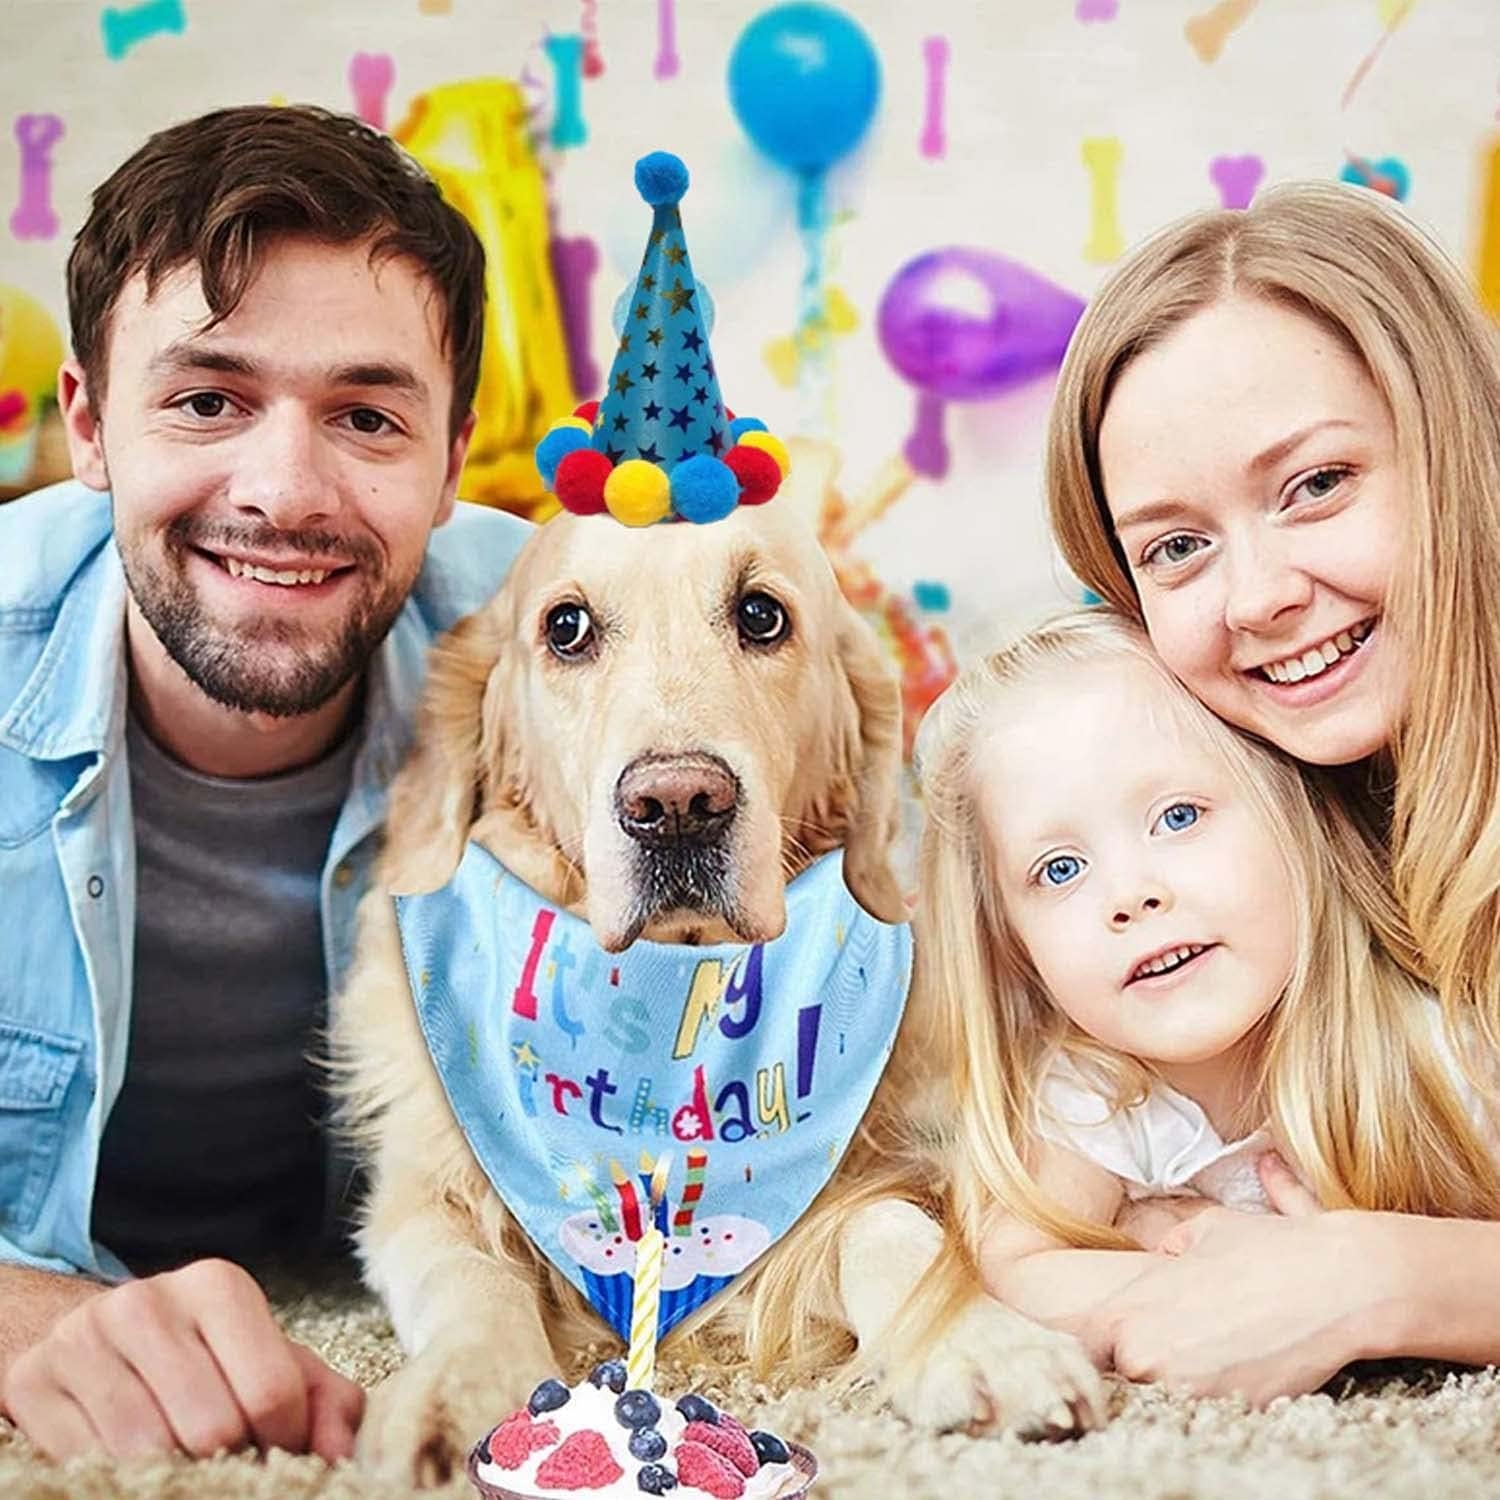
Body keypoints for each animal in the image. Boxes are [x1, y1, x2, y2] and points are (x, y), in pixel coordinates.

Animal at [331, 498, 1104, 1482]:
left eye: (761, 615)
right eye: (566, 627)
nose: (677, 807)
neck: (667, 1000)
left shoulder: (840, 1177)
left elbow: (894, 1229)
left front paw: (986, 1342)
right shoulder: (420, 1191)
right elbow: (471, 1277)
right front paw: (456, 1396)